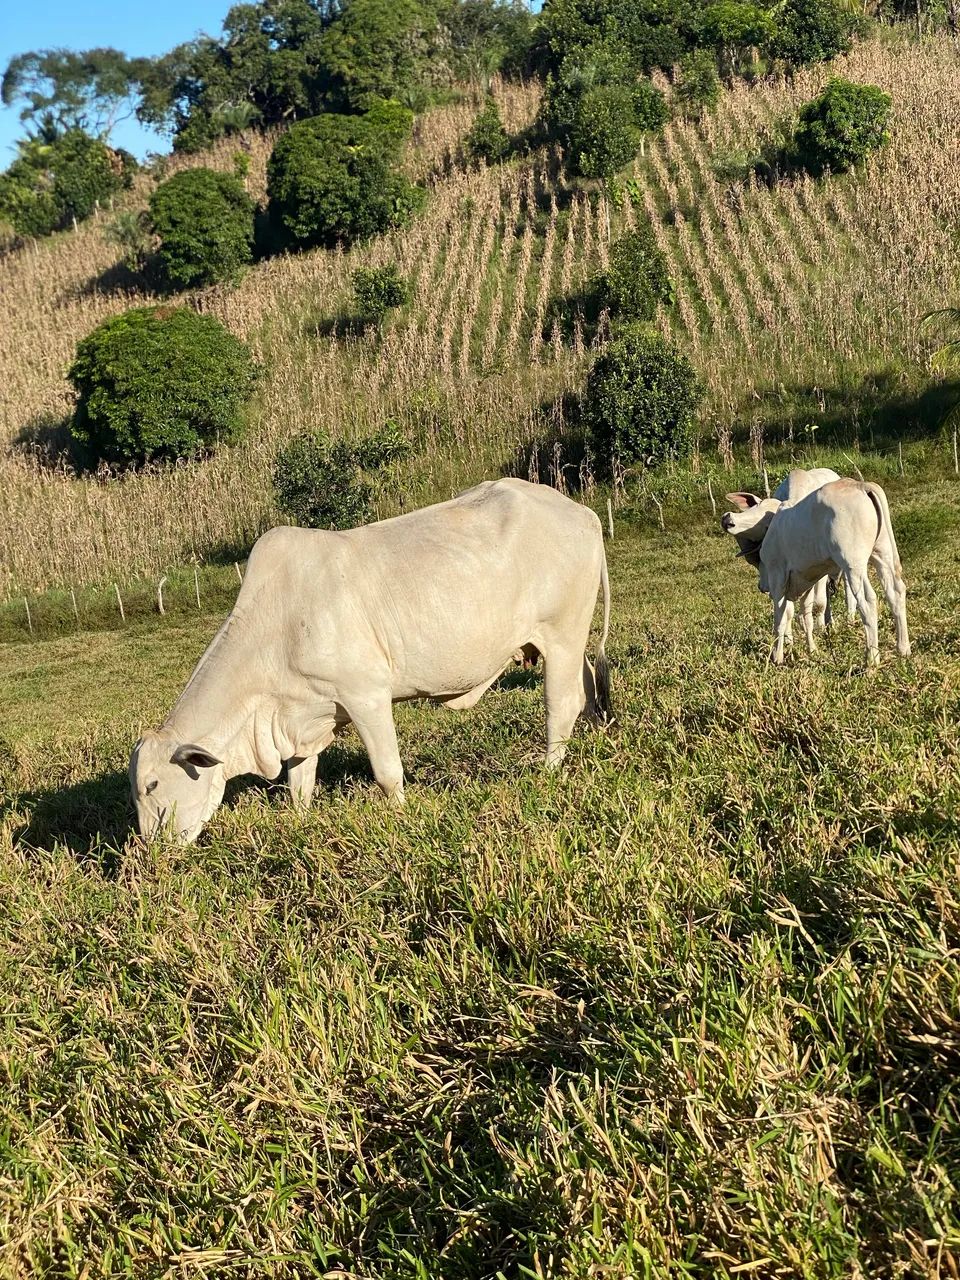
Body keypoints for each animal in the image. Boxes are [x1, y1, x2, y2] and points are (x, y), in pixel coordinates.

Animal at [130, 479, 612, 843]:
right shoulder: (306, 715)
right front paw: (301, 821)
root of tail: (581, 512)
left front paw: (401, 816)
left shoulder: (366, 695)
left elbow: (387, 772)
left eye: (152, 784)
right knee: (588, 685)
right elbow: (299, 782)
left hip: (562, 635)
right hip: (568, 643)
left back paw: (548, 772)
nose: (151, 851)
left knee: (560, 706)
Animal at [721, 478, 909, 666]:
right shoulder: (806, 579)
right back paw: (903, 649)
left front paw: (777, 656)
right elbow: (805, 616)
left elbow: (780, 619)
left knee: (868, 600)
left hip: (853, 564)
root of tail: (862, 486)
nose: (727, 518)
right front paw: (810, 650)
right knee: (896, 592)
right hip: (882, 554)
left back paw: (872, 658)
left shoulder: (778, 578)